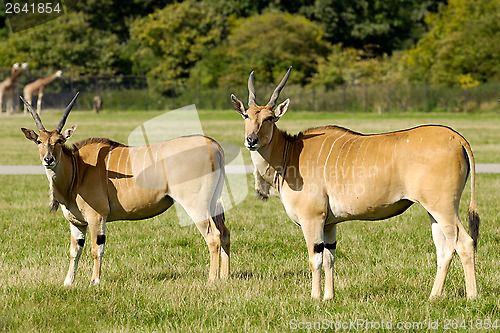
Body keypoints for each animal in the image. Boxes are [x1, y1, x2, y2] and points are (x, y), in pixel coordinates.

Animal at [20, 94, 230, 286]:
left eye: (60, 141)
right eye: (39, 141)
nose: (48, 159)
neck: (79, 169)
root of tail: (214, 145)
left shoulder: (97, 217)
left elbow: (96, 249)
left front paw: (95, 281)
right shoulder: (77, 223)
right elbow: (74, 251)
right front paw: (68, 282)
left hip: (196, 205)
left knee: (213, 236)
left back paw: (212, 279)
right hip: (214, 204)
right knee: (225, 233)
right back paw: (225, 276)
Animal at [232, 66, 478, 300]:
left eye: (269, 118)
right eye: (246, 116)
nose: (251, 140)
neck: (290, 153)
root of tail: (456, 138)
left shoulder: (312, 219)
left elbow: (315, 259)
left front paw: (314, 297)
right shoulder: (329, 224)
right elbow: (330, 257)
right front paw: (329, 297)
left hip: (444, 207)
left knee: (464, 243)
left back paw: (472, 296)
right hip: (433, 211)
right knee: (445, 249)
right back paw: (433, 297)